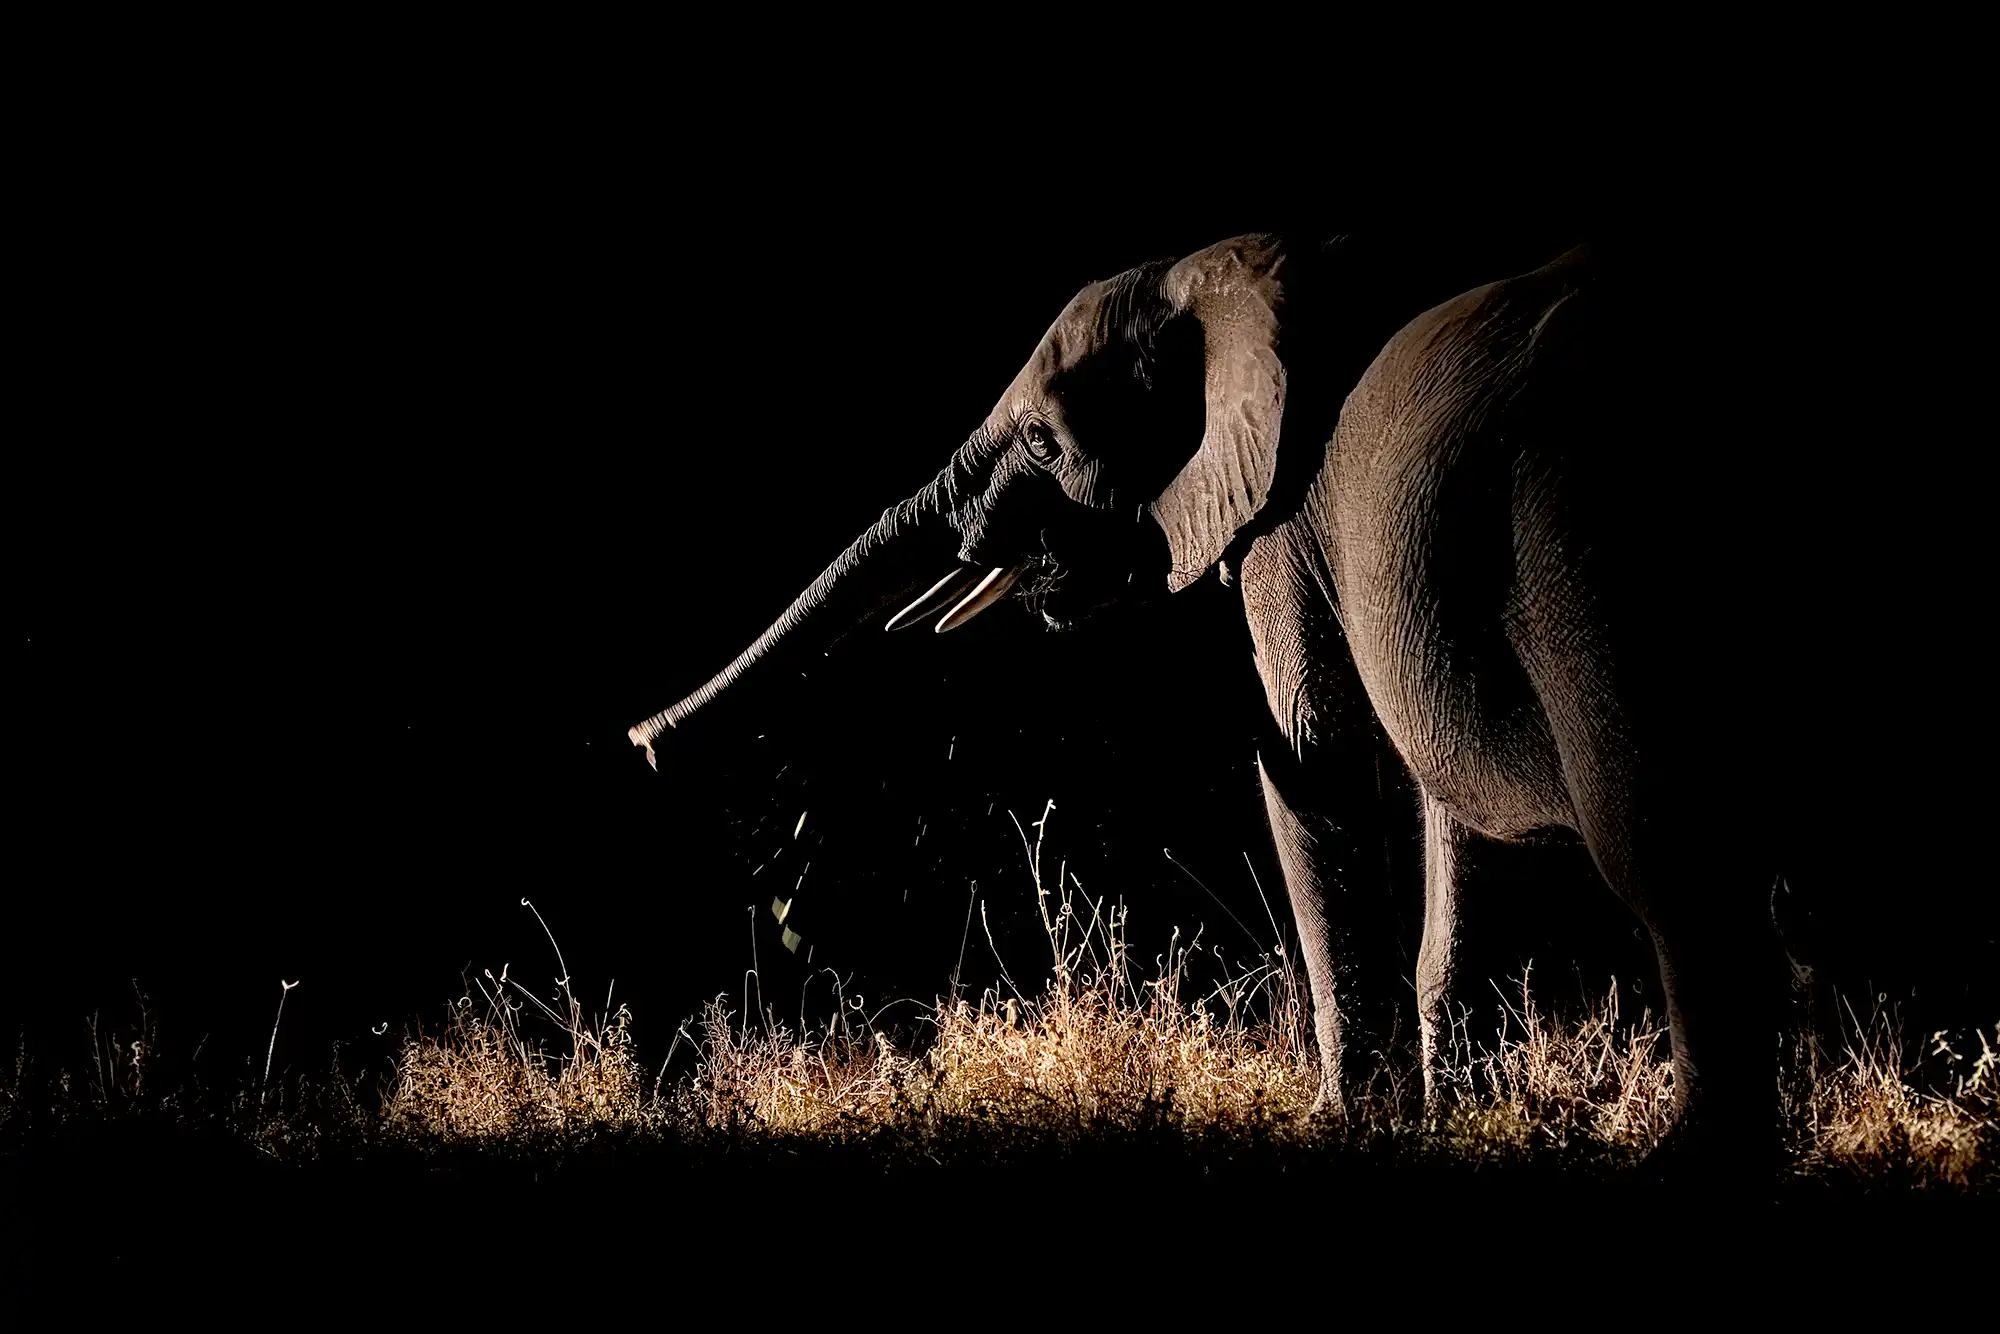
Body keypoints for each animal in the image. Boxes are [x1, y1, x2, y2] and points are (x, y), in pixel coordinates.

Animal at [629, 232, 1793, 1162]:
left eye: (1045, 443)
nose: (641, 743)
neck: (1242, 275)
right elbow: (1450, 808)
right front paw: (1458, 1120)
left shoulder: (1290, 519)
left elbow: (1313, 754)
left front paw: (1346, 1125)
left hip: (1588, 543)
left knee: (1665, 851)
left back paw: (1698, 1157)